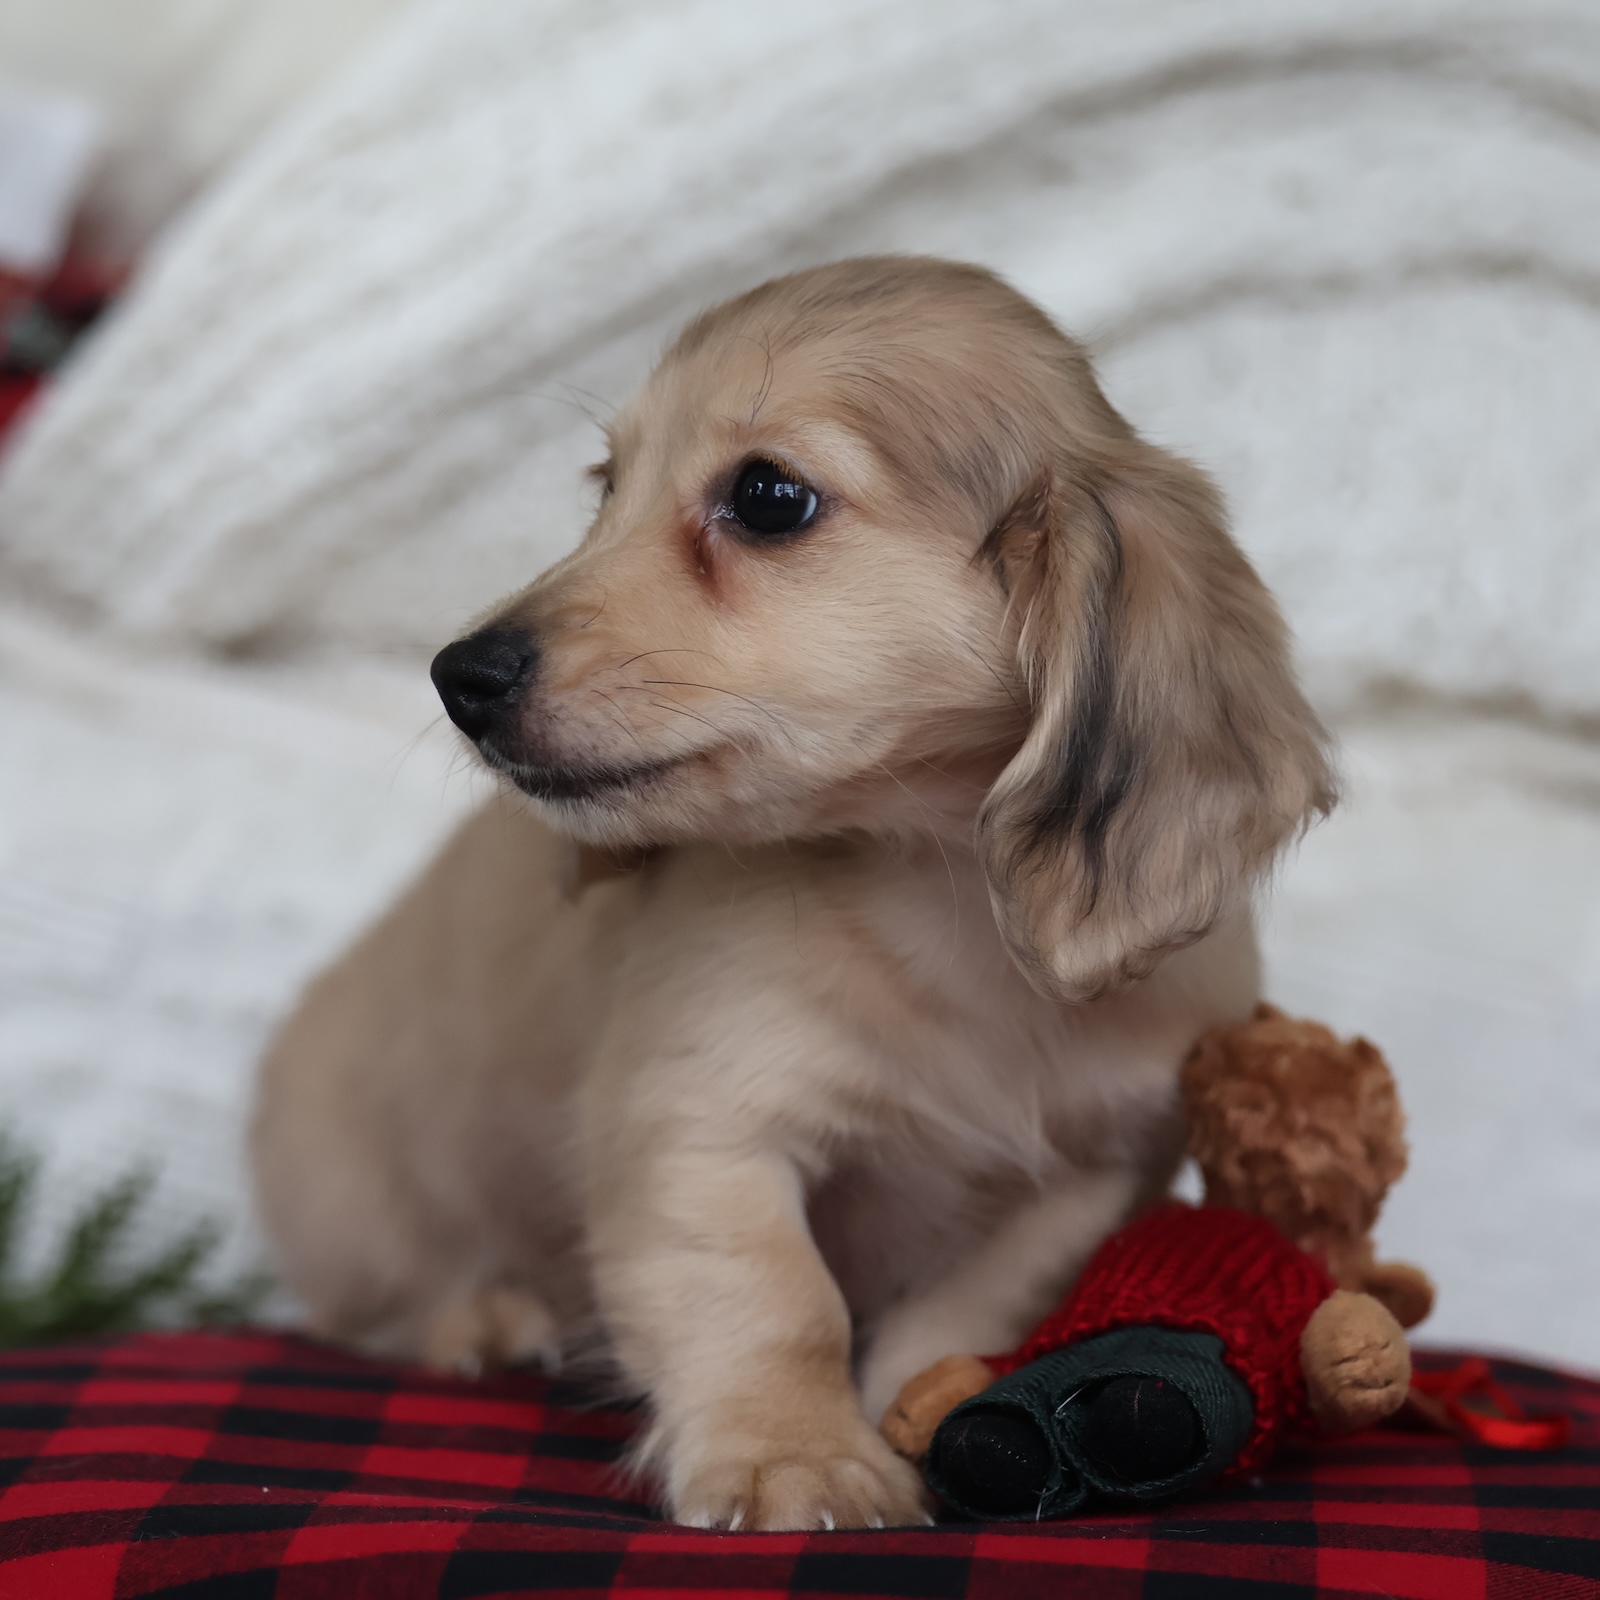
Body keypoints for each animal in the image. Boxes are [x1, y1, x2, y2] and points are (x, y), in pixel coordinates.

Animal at [252, 256, 1335, 1531]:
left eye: (768, 496)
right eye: (606, 486)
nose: (459, 676)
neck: (942, 913)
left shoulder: (1085, 1180)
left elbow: (954, 1319)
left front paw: (915, 1419)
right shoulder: (708, 1130)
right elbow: (776, 1301)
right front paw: (793, 1452)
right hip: (362, 1207)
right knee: (369, 1310)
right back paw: (485, 1317)